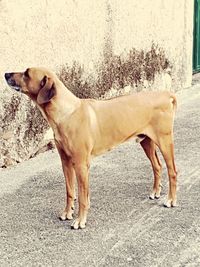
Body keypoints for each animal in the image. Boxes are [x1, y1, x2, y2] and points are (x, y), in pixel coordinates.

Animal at [4, 67, 177, 230]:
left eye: (26, 73)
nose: (6, 74)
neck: (67, 113)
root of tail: (165, 95)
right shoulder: (66, 162)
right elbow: (70, 191)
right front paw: (67, 212)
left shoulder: (81, 165)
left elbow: (82, 196)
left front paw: (80, 220)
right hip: (146, 141)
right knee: (157, 166)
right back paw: (155, 191)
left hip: (164, 140)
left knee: (172, 171)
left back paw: (171, 199)